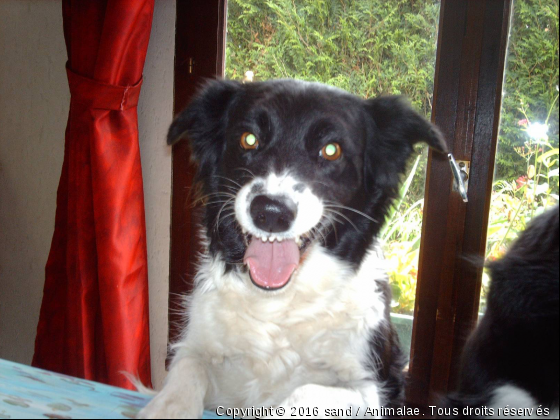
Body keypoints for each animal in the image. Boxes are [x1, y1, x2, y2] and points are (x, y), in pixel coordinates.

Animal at [140, 80, 446, 418]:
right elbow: (187, 369)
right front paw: (164, 408)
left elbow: (302, 392)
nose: (271, 213)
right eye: (249, 139)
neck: (279, 305)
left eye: (331, 150)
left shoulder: (372, 391)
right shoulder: (200, 350)